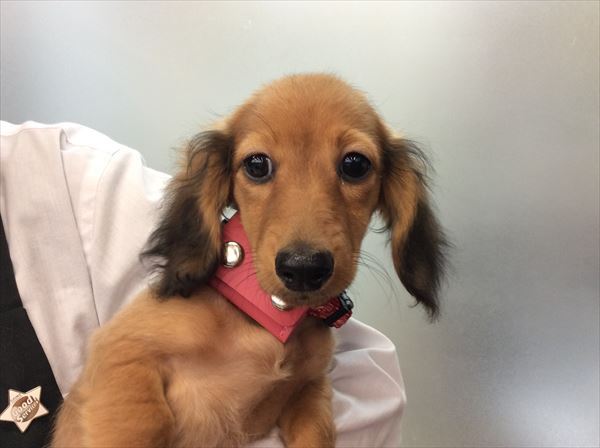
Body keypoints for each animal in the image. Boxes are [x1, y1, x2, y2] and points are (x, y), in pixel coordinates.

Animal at [51, 73, 446, 447]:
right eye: (257, 165)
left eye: (355, 164)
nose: (304, 268)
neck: (265, 317)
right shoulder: (122, 350)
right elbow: (142, 422)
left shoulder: (310, 386)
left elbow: (318, 430)